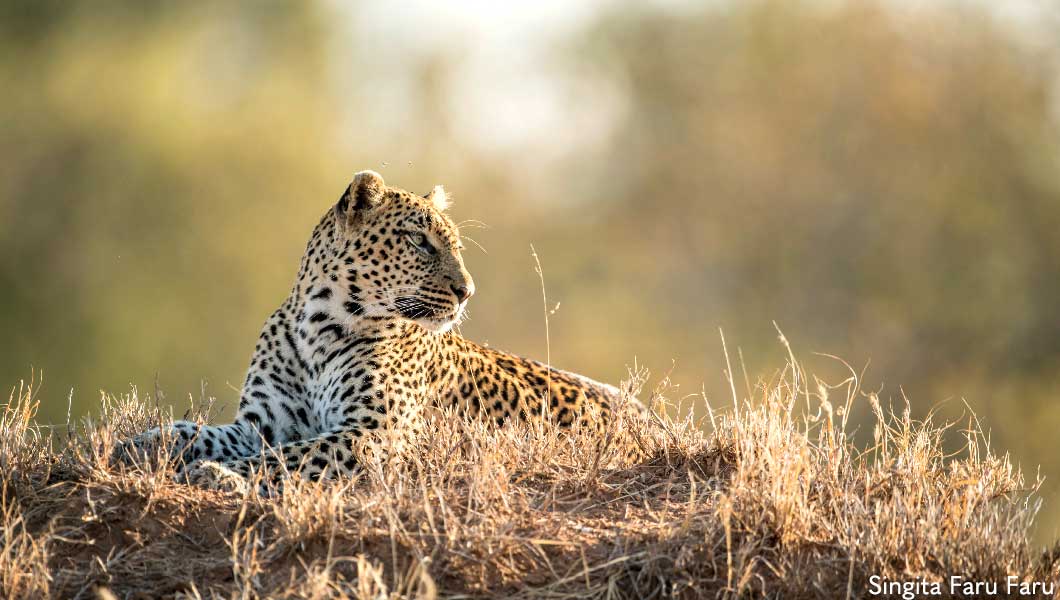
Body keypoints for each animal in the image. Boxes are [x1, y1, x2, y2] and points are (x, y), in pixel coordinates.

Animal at [113, 169, 644, 493]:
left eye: (453, 245)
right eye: (419, 242)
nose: (468, 291)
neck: (319, 326)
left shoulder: (374, 432)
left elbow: (288, 458)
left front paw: (217, 475)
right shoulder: (261, 424)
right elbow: (196, 431)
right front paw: (138, 445)